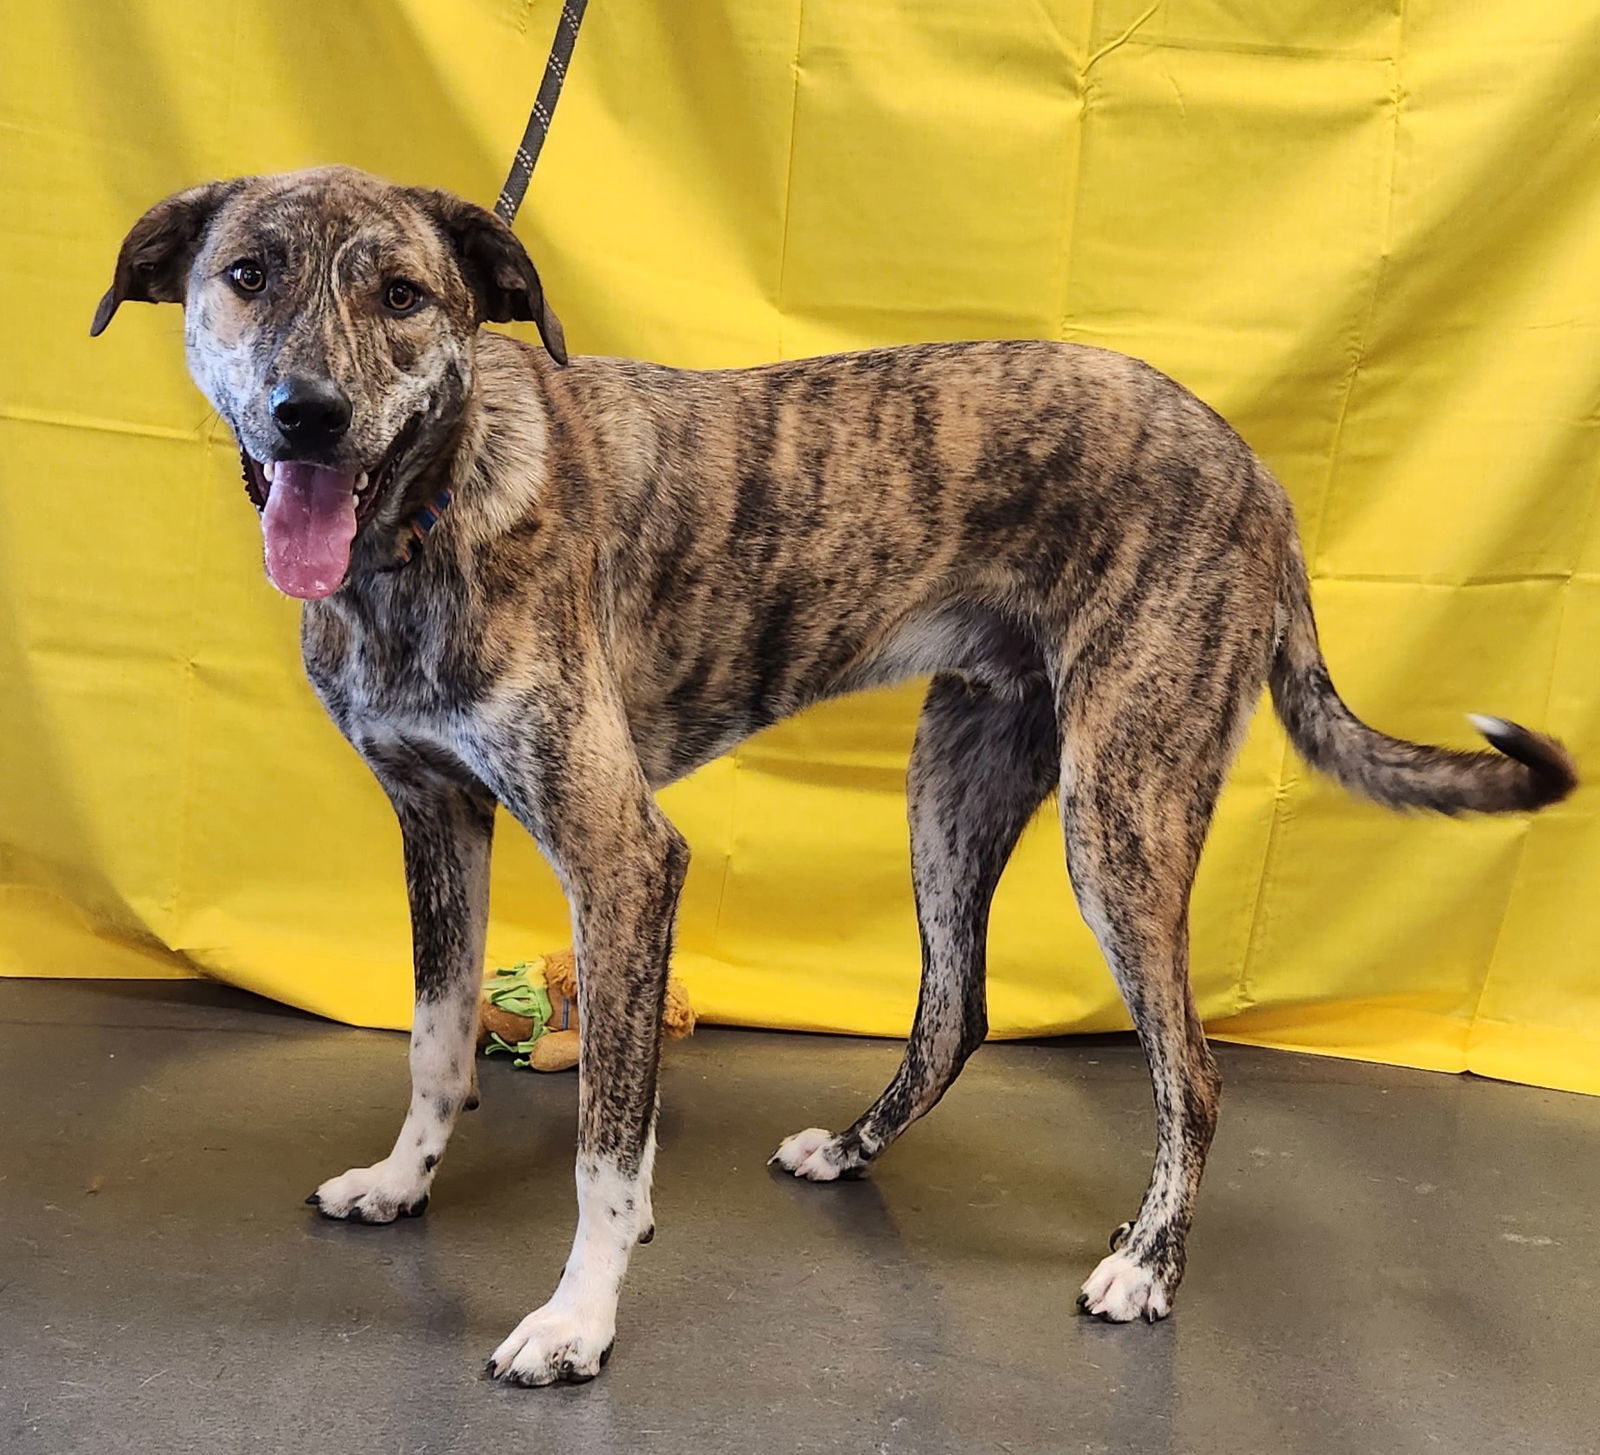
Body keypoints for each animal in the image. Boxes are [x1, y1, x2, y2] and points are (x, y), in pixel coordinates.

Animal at [90, 167, 1574, 1382]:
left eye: (402, 295)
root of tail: (1254, 467)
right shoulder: (435, 818)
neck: (433, 511)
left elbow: (603, 1138)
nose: (310, 415)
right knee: (954, 1009)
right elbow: (437, 1037)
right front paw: (404, 1183)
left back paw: (1146, 1265)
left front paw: (580, 1319)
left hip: (1122, 812)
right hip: (958, 774)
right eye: (246, 274)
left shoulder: (623, 857)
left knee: (1194, 1073)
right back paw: (853, 1148)